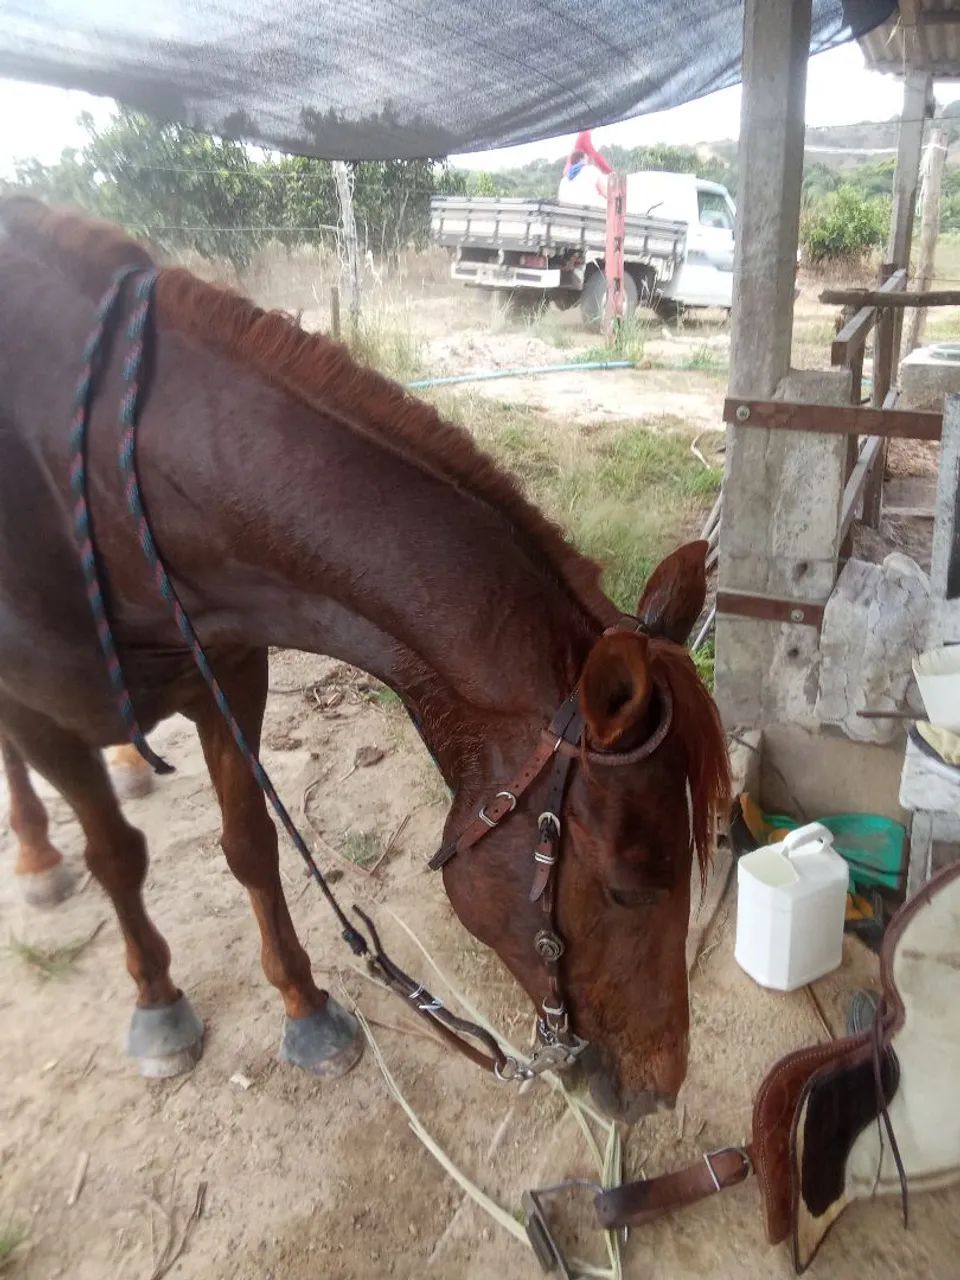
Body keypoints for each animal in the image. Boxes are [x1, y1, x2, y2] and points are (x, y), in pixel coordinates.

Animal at [0, 196, 728, 1118]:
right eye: (631, 888)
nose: (659, 1091)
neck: (102, 485)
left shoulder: (228, 674)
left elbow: (250, 844)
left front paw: (305, 1008)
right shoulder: (42, 714)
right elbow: (118, 858)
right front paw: (159, 1005)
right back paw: (37, 854)